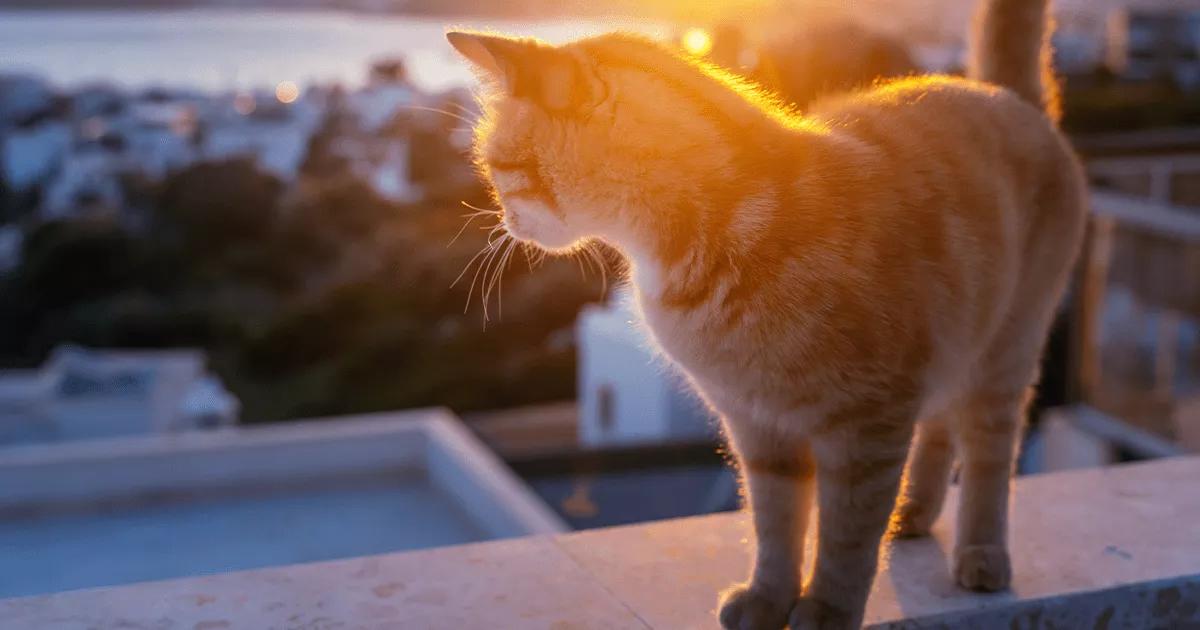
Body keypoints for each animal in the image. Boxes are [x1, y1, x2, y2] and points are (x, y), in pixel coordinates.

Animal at [451, 1, 1089, 624]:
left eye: (500, 167)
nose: (504, 221)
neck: (724, 229)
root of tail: (1001, 93)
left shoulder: (869, 424)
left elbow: (847, 537)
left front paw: (827, 609)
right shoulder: (757, 425)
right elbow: (776, 526)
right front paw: (769, 598)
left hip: (1003, 355)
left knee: (986, 455)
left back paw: (981, 552)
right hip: (952, 353)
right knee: (938, 433)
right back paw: (912, 513)